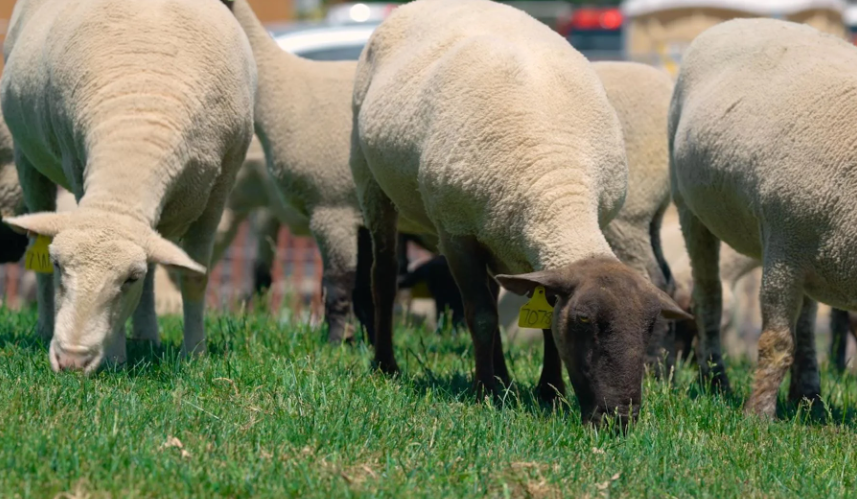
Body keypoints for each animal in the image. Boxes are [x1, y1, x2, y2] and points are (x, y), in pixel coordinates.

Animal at [1, 0, 256, 374]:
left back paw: (147, 335)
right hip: (26, 157)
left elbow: (195, 276)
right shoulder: (75, 164)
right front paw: (116, 358)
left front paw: (195, 354)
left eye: (129, 279)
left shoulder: (220, 187)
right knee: (37, 242)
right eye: (61, 265)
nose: (71, 359)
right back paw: (46, 326)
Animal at [664, 17, 856, 416]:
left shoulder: (796, 242)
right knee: (709, 299)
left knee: (806, 322)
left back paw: (808, 398)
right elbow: (776, 341)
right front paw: (758, 415)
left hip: (808, 245)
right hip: (691, 209)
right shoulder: (783, 243)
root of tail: (733, 21)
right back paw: (715, 381)